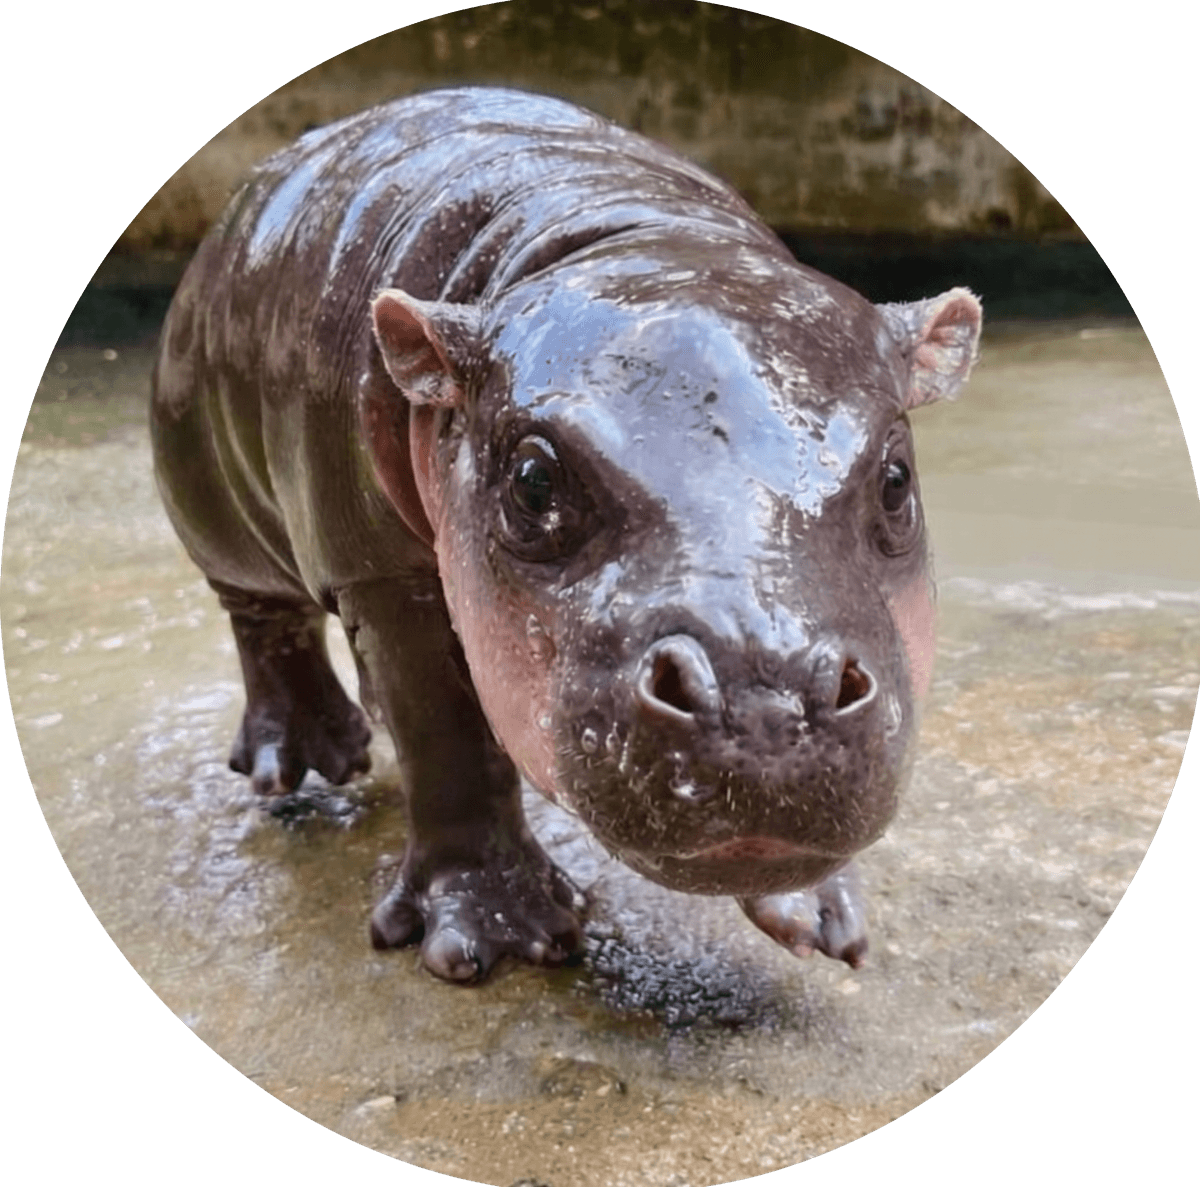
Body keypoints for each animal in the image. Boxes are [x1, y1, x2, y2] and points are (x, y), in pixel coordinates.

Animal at [151, 87, 981, 983]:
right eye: (533, 482)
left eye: (896, 477)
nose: (766, 702)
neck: (618, 234)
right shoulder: (380, 574)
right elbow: (444, 737)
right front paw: (497, 938)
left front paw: (823, 922)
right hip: (219, 518)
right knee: (264, 620)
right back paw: (303, 765)